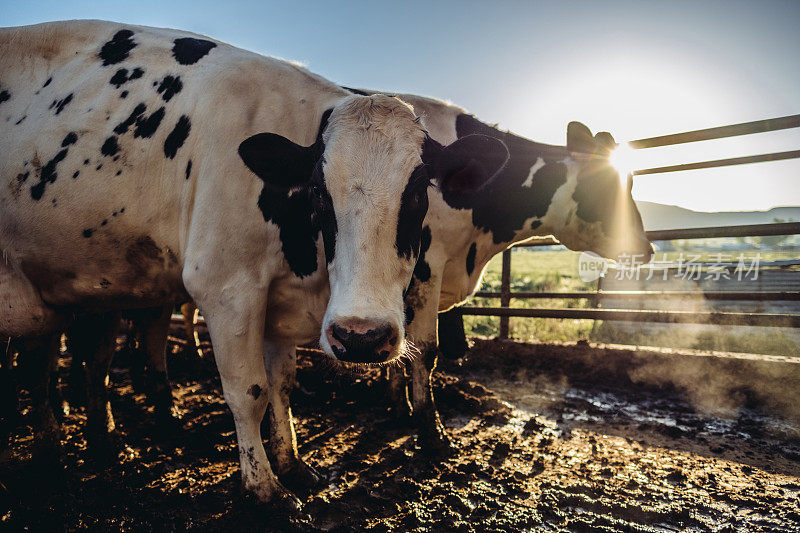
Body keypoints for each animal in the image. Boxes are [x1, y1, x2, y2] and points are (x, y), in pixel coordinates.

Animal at [0, 19, 504, 508]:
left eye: (419, 191)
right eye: (318, 191)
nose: (361, 336)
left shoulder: (277, 300)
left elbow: (281, 384)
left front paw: (292, 464)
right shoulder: (226, 290)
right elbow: (249, 392)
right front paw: (264, 486)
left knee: (51, 362)